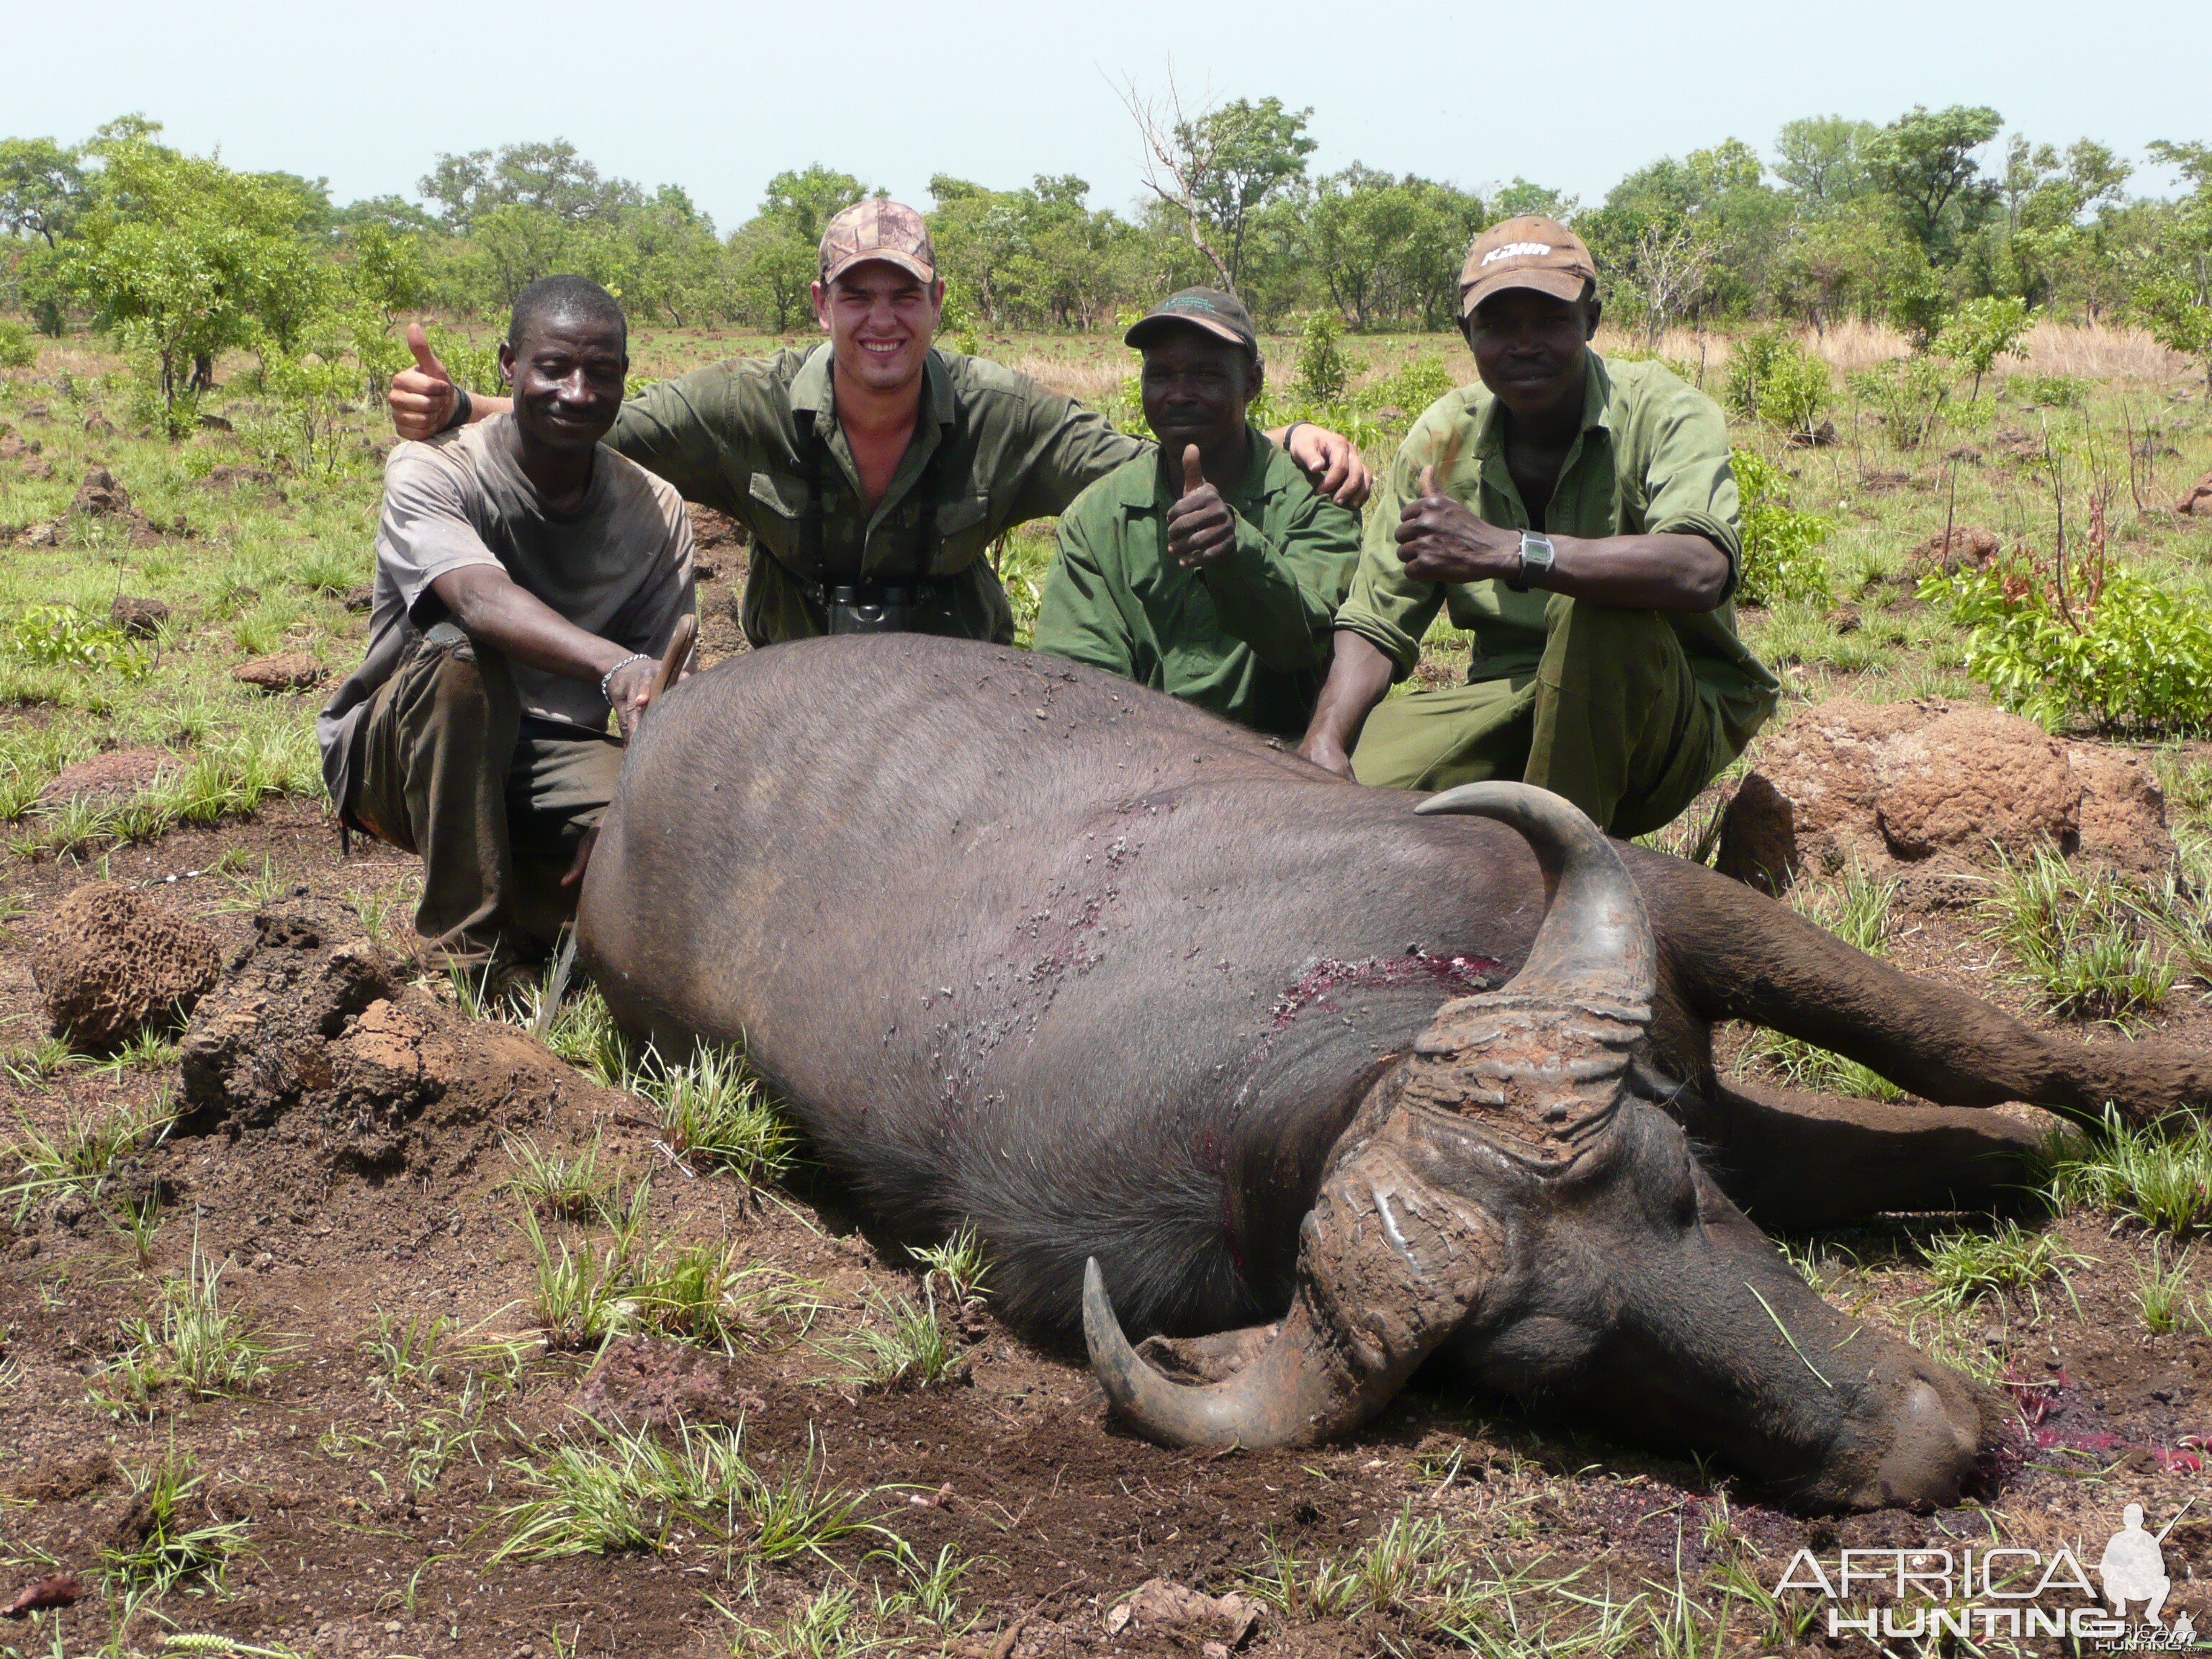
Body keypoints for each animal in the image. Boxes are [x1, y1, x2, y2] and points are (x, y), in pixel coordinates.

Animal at [575, 641, 2212, 1521]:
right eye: (1555, 1369)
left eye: (1682, 1196)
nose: (1926, 1447)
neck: (1324, 1017)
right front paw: (2004, 1153)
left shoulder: (1684, 921)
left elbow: (1952, 1030)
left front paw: (2149, 1092)